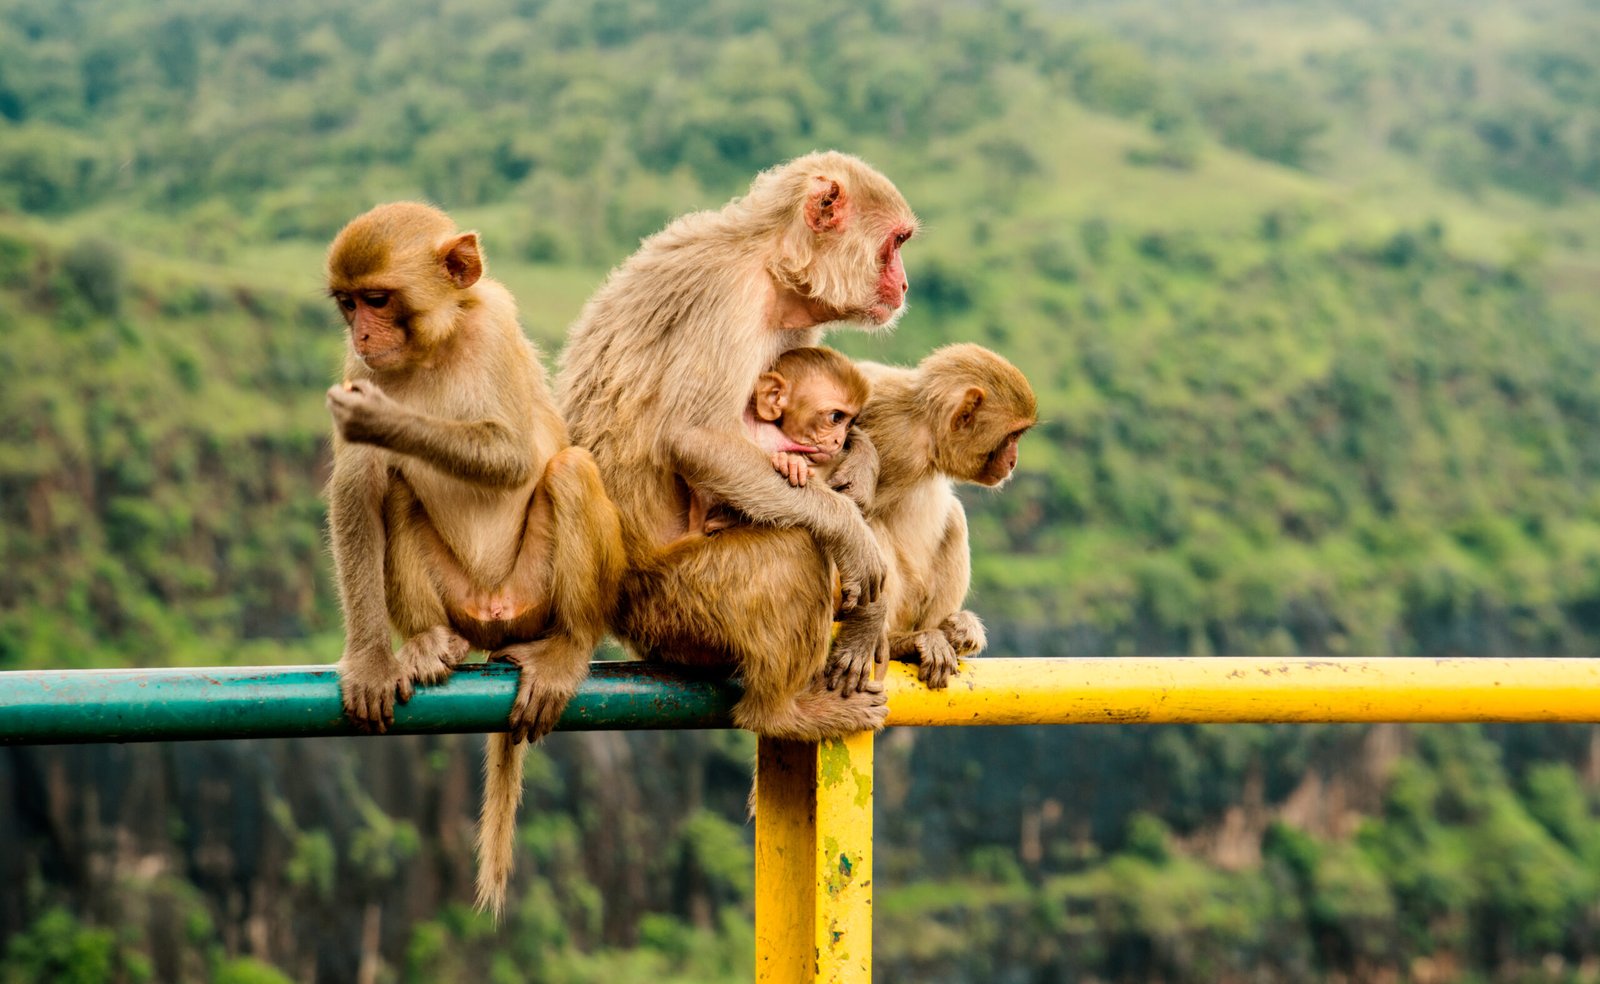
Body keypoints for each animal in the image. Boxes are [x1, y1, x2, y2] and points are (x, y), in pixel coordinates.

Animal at [323, 204, 624, 921]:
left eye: (379, 299)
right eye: (348, 304)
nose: (364, 331)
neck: (434, 345)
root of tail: (496, 617)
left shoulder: (494, 331)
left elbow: (513, 455)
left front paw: (385, 421)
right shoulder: (358, 365)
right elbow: (358, 486)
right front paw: (370, 662)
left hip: (534, 591)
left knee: (568, 470)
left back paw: (568, 649)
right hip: (460, 597)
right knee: (397, 489)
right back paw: (430, 642)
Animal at [844, 344, 1043, 694]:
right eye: (1012, 436)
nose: (1014, 461)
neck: (925, 436)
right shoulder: (894, 435)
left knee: (954, 518)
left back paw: (951, 630)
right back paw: (900, 641)